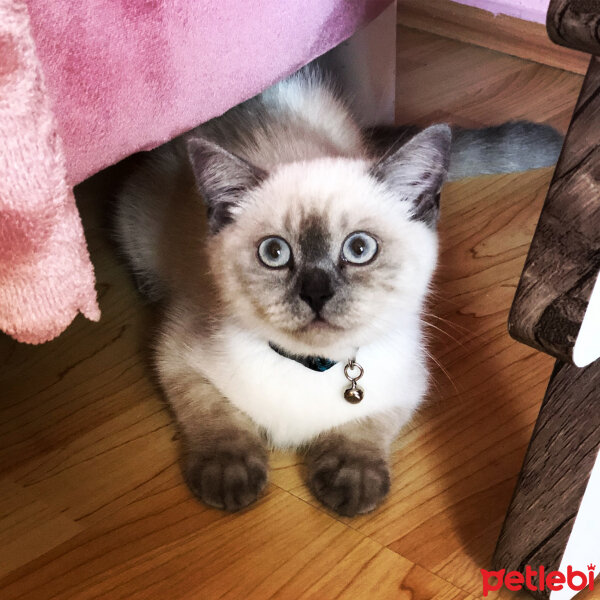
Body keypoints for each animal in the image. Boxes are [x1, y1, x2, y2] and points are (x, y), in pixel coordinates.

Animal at [116, 67, 564, 516]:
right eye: (274, 253)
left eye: (359, 249)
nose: (316, 294)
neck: (314, 366)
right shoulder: (175, 356)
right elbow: (214, 416)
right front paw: (230, 476)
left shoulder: (408, 385)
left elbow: (367, 427)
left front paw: (352, 483)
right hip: (140, 224)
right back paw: (148, 285)